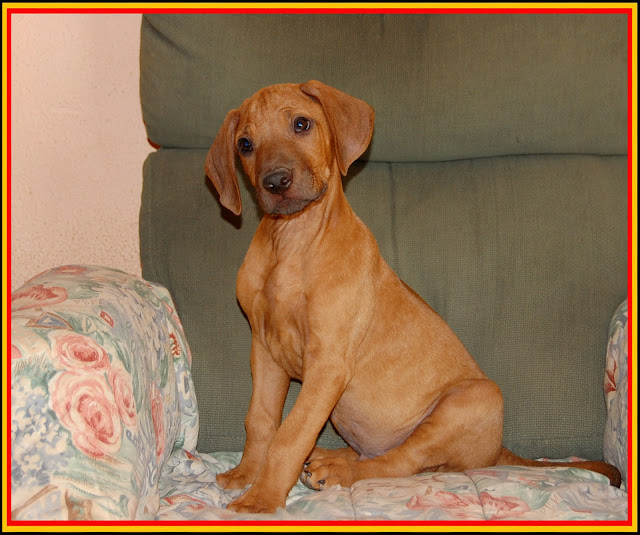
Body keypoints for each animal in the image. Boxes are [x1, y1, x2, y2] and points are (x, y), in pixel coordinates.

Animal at [204, 80, 620, 516]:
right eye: (245, 144)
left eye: (301, 124)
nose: (275, 181)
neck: (290, 243)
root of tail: (497, 450)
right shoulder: (264, 350)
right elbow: (261, 421)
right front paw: (247, 474)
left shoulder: (327, 362)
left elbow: (291, 433)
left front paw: (261, 499)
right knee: (381, 454)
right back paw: (329, 456)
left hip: (475, 399)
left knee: (400, 461)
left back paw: (338, 469)